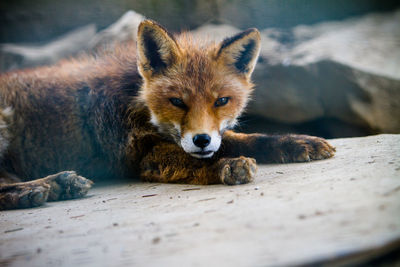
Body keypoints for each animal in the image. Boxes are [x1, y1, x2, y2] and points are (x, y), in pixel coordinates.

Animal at [0, 19, 334, 210]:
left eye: (221, 101)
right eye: (177, 102)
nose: (201, 140)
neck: (136, 104)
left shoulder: (205, 137)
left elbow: (252, 139)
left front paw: (299, 142)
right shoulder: (141, 154)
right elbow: (196, 161)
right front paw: (228, 166)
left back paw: (59, 185)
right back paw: (41, 188)